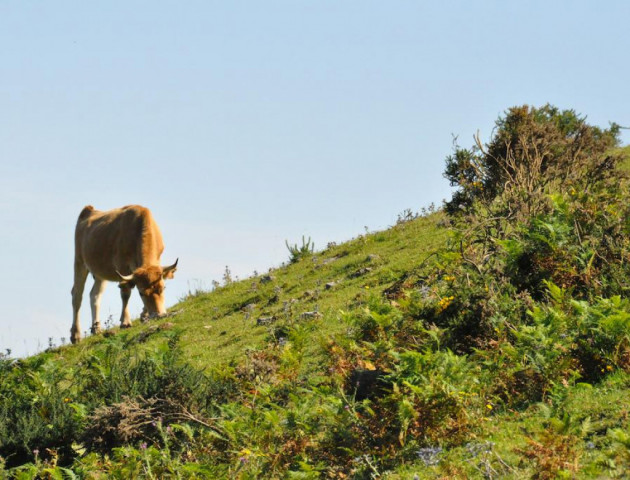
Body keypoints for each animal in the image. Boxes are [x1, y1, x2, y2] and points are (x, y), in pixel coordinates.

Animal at [71, 204, 178, 344]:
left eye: (163, 288)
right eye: (141, 293)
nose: (159, 315)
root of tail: (88, 210)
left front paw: (144, 316)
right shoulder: (122, 266)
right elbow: (125, 293)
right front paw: (125, 322)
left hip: (100, 273)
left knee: (94, 294)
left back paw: (96, 328)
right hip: (80, 262)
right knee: (77, 295)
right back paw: (76, 335)